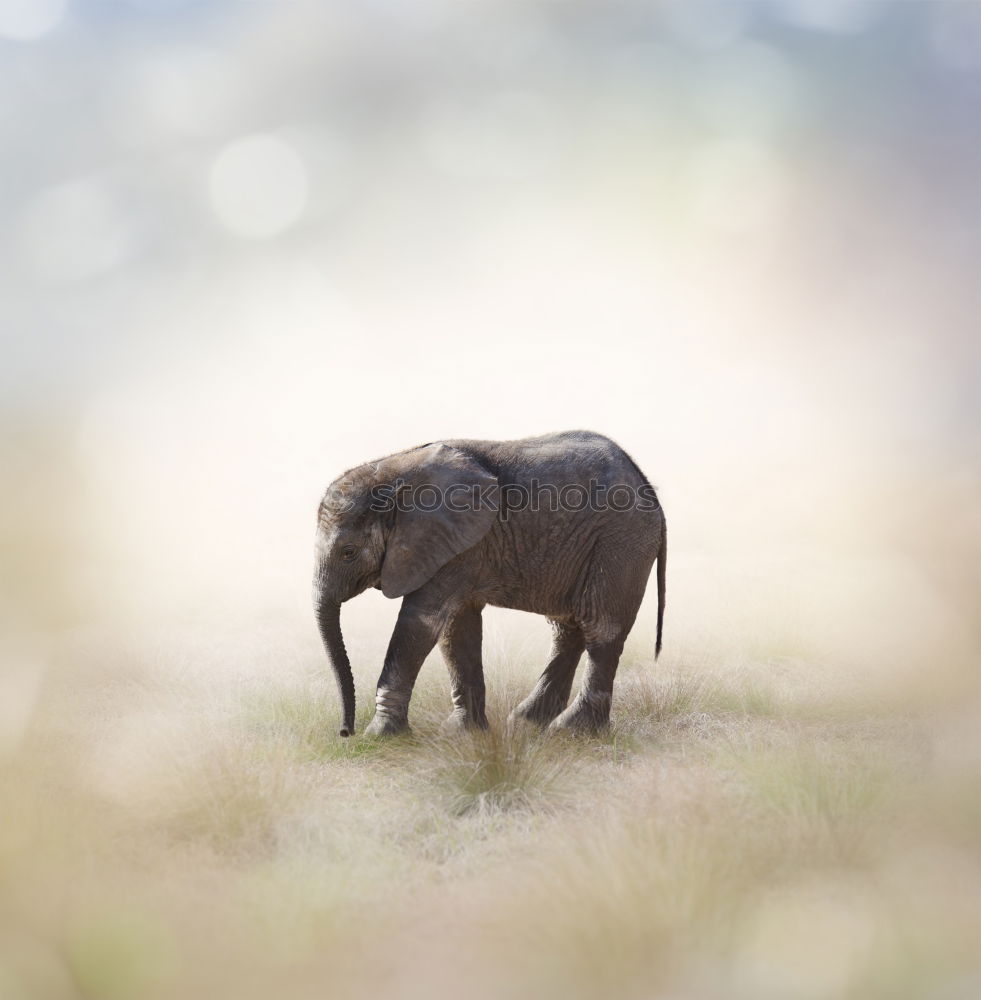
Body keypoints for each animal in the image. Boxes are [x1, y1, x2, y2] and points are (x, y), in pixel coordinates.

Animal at [314, 426, 668, 740]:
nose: (345, 732)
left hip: (621, 542)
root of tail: (650, 491)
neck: (392, 472)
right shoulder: (458, 545)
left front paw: (380, 737)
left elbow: (421, 622)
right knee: (567, 630)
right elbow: (457, 628)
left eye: (348, 553)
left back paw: (570, 732)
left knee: (601, 630)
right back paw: (527, 724)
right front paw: (465, 735)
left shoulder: (456, 544)